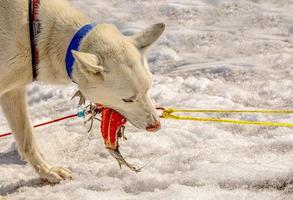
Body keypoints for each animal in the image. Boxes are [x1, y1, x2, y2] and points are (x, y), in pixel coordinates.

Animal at [0, 0, 164, 184]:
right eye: (127, 99)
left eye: (147, 89)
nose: (156, 125)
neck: (35, 33)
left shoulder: (13, 92)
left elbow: (27, 141)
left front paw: (48, 171)